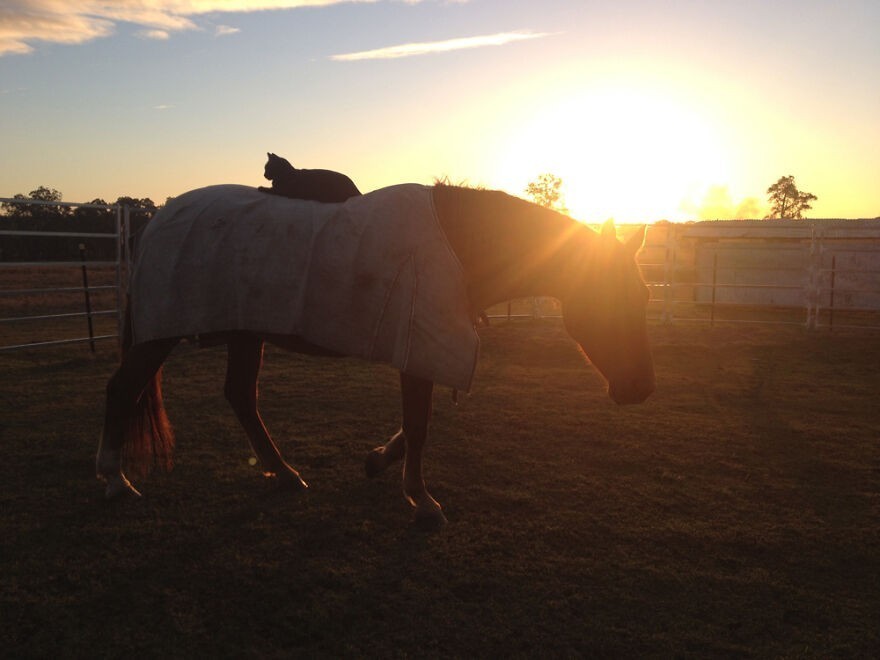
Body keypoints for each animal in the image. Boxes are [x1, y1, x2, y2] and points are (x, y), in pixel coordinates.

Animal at [98, 182, 652, 532]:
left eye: (644, 296)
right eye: (611, 297)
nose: (640, 389)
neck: (458, 243)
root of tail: (156, 221)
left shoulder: (428, 349)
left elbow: (415, 425)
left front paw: (378, 460)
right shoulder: (419, 343)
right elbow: (420, 425)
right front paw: (423, 503)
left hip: (244, 331)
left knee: (241, 396)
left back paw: (284, 474)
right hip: (162, 334)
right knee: (123, 389)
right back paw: (116, 480)